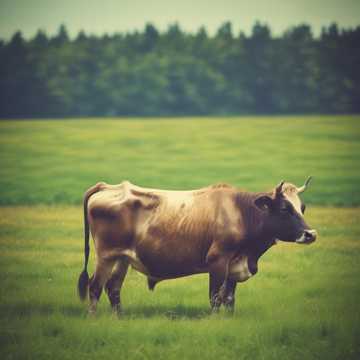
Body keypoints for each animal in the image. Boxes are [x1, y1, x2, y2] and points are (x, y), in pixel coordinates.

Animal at [77, 177, 316, 316]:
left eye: (302, 207)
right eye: (285, 208)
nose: (310, 234)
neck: (240, 212)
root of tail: (109, 187)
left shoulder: (234, 265)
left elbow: (230, 298)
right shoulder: (218, 261)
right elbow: (215, 298)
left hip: (122, 258)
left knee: (113, 288)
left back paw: (119, 317)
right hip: (106, 256)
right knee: (95, 286)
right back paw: (94, 318)